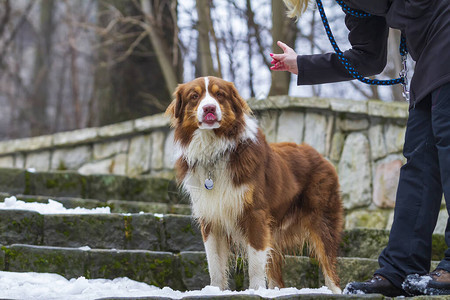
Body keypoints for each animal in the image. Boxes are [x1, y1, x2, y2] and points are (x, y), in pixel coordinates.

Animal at [166, 76, 344, 294]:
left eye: (219, 94)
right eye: (194, 96)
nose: (209, 108)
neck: (215, 150)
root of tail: (320, 156)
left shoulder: (256, 214)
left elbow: (256, 263)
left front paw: (256, 291)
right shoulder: (210, 217)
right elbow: (214, 263)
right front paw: (215, 290)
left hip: (323, 221)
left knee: (330, 268)